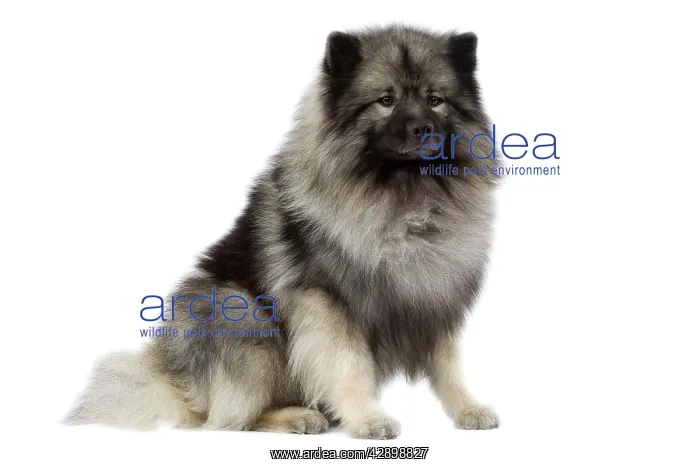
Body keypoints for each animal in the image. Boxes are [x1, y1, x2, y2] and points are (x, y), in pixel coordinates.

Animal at [66, 25, 500, 439]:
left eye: (435, 99)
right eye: (386, 100)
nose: (423, 128)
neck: (406, 192)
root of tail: (176, 378)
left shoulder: (435, 290)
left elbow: (448, 365)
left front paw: (468, 408)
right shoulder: (327, 303)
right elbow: (349, 367)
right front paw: (369, 419)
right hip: (241, 314)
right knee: (230, 417)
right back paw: (297, 416)